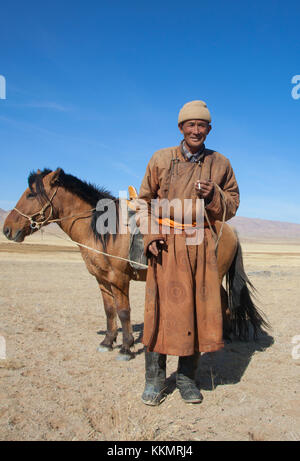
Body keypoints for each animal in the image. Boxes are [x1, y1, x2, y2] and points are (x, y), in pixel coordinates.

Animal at [2, 166, 270, 360]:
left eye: (30, 193)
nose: (7, 229)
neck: (103, 230)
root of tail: (231, 230)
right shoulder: (101, 279)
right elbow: (109, 310)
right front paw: (108, 342)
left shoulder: (119, 278)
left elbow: (123, 311)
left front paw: (126, 347)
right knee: (224, 299)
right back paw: (226, 332)